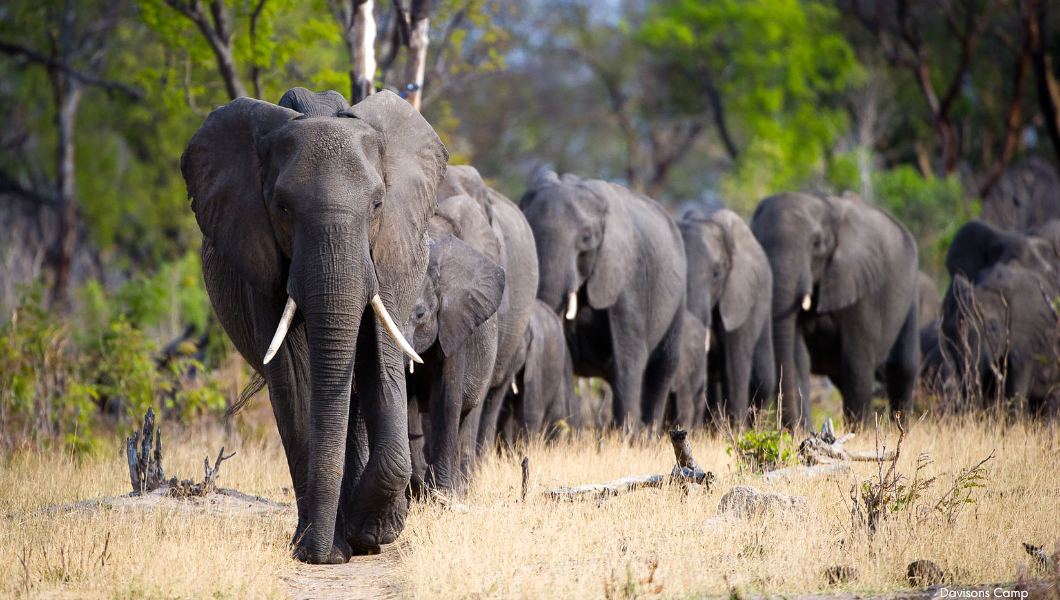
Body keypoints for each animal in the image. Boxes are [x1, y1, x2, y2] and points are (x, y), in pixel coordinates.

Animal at [182, 87, 447, 563]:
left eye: (377, 204)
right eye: (282, 206)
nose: (320, 553)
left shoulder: (390, 250)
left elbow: (380, 359)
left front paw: (370, 532)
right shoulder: (258, 254)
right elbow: (293, 375)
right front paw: (321, 550)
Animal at [404, 233, 504, 496]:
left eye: (420, 314)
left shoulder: (455, 326)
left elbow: (446, 398)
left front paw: (441, 495)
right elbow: (406, 400)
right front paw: (417, 491)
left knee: (465, 417)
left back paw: (461, 490)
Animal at [519, 172, 686, 432]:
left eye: (586, 239)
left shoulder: (626, 276)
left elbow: (629, 353)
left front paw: (625, 437)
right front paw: (572, 433)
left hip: (679, 295)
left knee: (662, 366)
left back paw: (648, 436)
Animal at [746, 190, 920, 430]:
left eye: (817, 244)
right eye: (757, 240)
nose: (792, 429)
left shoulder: (862, 287)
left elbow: (856, 362)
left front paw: (860, 432)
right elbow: (798, 357)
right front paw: (803, 432)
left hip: (911, 291)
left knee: (902, 367)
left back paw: (899, 428)